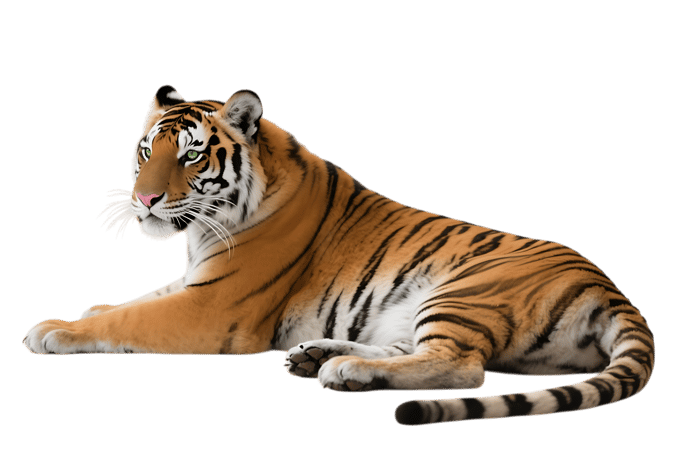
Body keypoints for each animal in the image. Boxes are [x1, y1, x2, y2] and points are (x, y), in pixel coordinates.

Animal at [23, 85, 655, 425]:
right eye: (146, 151)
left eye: (192, 156)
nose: (144, 199)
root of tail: (612, 288)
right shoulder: (195, 283)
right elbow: (130, 303)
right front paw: (89, 310)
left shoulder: (212, 307)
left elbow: (133, 317)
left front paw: (55, 329)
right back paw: (321, 356)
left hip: (461, 291)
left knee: (460, 364)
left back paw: (340, 368)